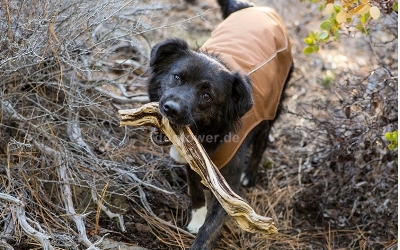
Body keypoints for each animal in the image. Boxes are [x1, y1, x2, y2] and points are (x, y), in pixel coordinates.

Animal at [147, 0, 294, 249]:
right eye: (177, 77)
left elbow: (210, 229)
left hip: (272, 105)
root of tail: (257, 8)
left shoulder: (229, 188)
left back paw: (251, 174)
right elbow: (195, 190)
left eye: (207, 96)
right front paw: (196, 217)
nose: (171, 109)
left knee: (262, 140)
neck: (210, 133)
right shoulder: (193, 160)